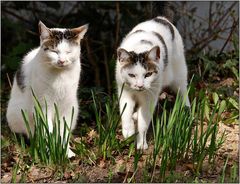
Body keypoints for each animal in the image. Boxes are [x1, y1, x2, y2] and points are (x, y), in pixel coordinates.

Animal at [6, 21, 88, 157]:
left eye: (69, 52)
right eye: (54, 51)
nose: (62, 61)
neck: (60, 77)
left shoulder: (66, 108)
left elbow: (63, 132)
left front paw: (66, 152)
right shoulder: (43, 107)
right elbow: (47, 132)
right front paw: (51, 152)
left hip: (74, 108)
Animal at [115, 16, 190, 150]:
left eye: (148, 74)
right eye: (131, 75)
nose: (140, 85)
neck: (139, 48)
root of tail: (161, 18)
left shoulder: (149, 98)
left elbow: (144, 122)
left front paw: (141, 143)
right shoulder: (124, 90)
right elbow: (125, 111)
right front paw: (128, 131)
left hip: (179, 73)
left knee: (183, 90)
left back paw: (187, 109)